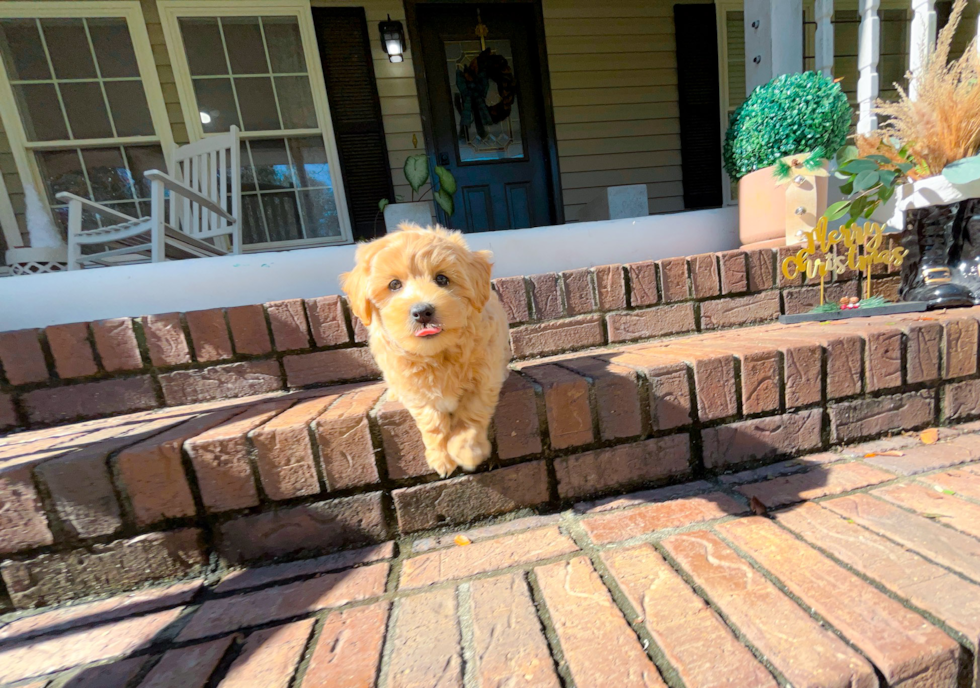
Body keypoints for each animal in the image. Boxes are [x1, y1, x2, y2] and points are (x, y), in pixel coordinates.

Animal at [342, 223, 512, 476]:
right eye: (394, 284)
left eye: (442, 279)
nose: (422, 311)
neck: (438, 353)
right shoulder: (415, 389)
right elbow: (432, 421)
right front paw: (441, 457)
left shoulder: (484, 375)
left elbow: (471, 412)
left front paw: (466, 450)